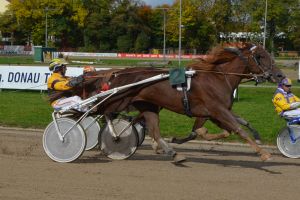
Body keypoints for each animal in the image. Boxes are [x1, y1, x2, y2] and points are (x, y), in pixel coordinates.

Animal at [79, 42, 284, 162]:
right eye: (261, 56)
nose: (280, 75)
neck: (219, 78)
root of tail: (117, 73)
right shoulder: (217, 110)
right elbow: (237, 129)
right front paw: (263, 153)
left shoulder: (212, 113)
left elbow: (225, 129)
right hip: (118, 100)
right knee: (101, 112)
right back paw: (110, 135)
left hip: (148, 106)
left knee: (152, 129)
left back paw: (171, 152)